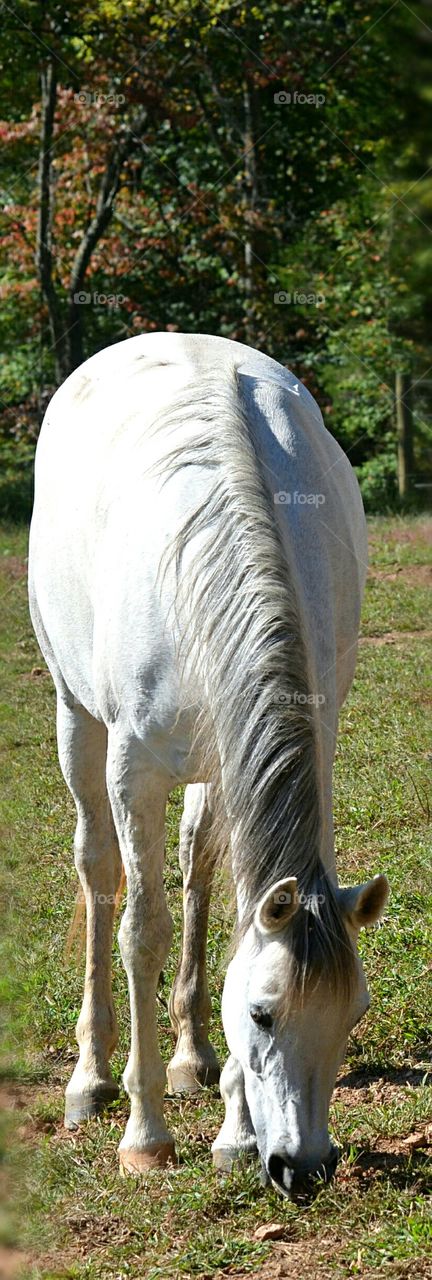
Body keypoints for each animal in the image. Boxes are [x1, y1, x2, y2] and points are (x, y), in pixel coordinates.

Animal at [29, 335, 388, 1192]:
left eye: (354, 1012)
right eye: (262, 1013)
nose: (304, 1168)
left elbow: (227, 916)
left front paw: (232, 1131)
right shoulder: (133, 769)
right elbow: (142, 931)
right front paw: (146, 1135)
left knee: (195, 865)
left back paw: (191, 1059)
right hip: (74, 717)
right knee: (98, 870)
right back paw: (90, 1079)